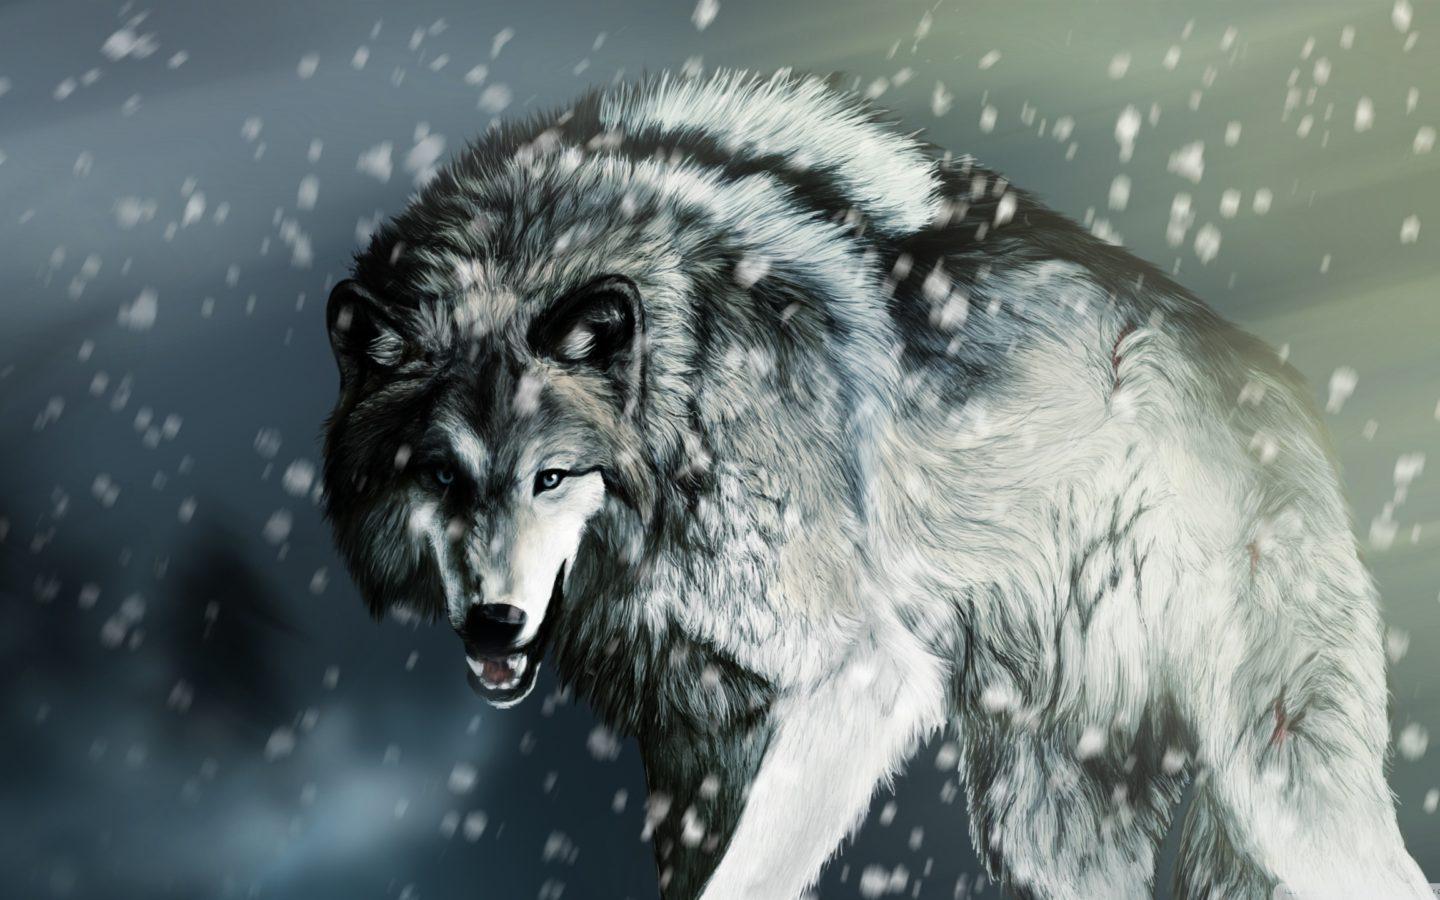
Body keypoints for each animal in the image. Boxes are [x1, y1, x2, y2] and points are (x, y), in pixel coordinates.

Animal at [320, 71, 1429, 899]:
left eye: (552, 475)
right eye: (439, 474)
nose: (495, 623)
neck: (682, 390)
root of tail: (1280, 386)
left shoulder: (860, 680)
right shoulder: (694, 748)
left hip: (1275, 786)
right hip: (1043, 822)